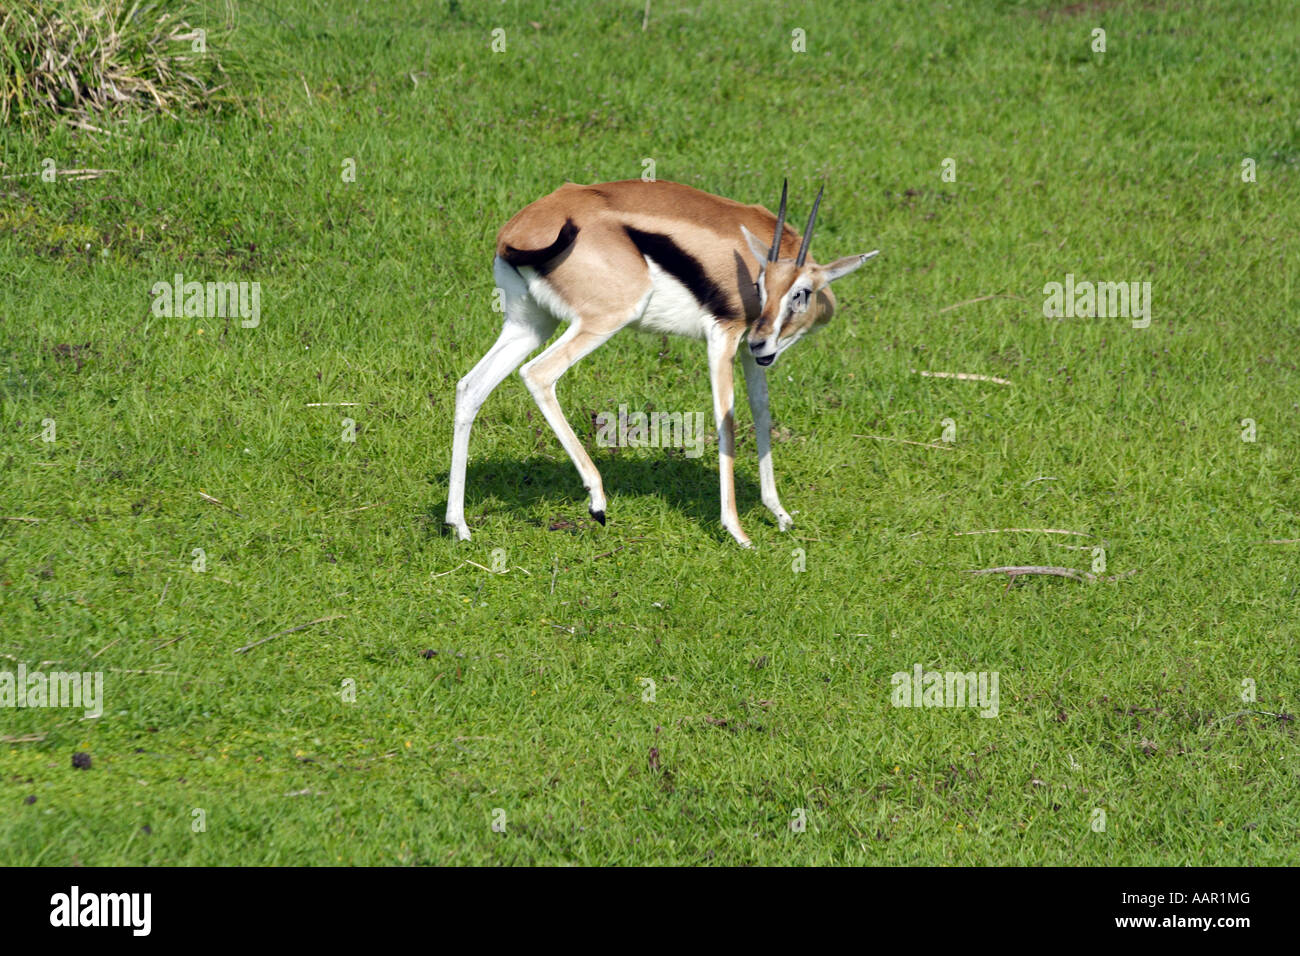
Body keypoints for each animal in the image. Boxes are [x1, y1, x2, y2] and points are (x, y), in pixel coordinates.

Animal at [445, 179, 879, 547]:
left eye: (799, 292)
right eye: (759, 285)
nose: (762, 338)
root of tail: (520, 229)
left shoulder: (748, 352)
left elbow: (762, 411)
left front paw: (780, 514)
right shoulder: (723, 338)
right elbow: (727, 419)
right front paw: (737, 532)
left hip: (529, 325)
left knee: (471, 386)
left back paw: (459, 525)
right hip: (601, 320)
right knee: (537, 374)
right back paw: (597, 502)